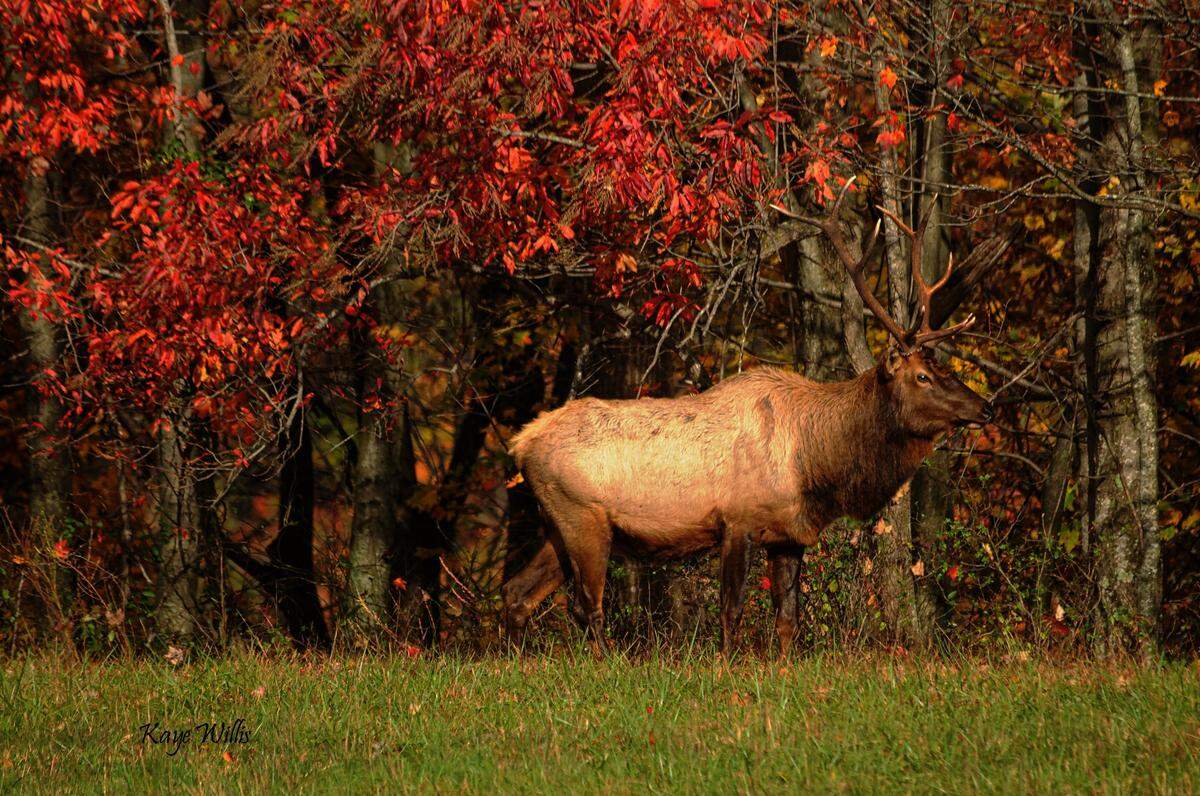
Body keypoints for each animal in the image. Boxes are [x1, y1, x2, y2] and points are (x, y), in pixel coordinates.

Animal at [503, 179, 1002, 655]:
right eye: (922, 376)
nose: (986, 406)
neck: (814, 465)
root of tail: (520, 442)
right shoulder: (737, 518)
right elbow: (732, 610)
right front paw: (728, 664)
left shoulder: (789, 534)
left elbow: (787, 621)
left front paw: (782, 667)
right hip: (582, 516)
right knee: (586, 605)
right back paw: (609, 662)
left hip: (555, 522)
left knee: (516, 593)